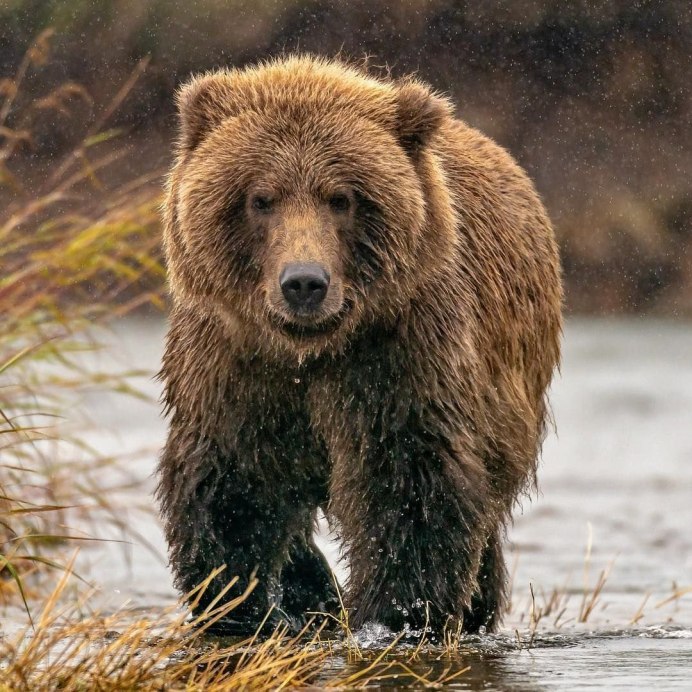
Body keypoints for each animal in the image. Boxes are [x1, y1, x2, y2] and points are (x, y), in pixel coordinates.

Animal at [157, 55, 564, 636]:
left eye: (341, 197)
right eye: (261, 198)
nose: (304, 282)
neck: (308, 353)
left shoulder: (396, 356)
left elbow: (407, 487)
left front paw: (393, 614)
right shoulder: (235, 366)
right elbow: (233, 488)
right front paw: (246, 609)